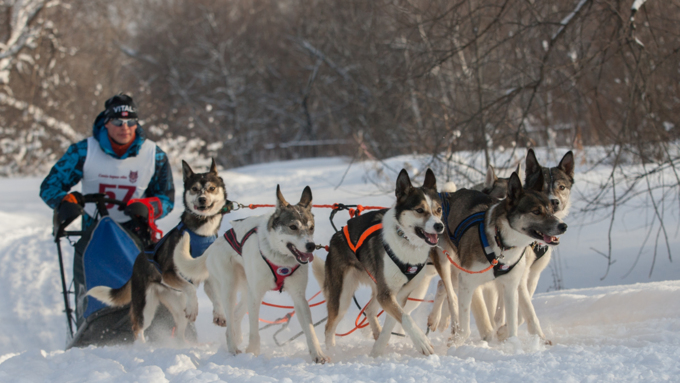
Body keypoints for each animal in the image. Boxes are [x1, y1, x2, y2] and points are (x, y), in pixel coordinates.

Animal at [86, 159, 226, 342]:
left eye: (212, 188)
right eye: (194, 189)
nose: (202, 199)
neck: (201, 233)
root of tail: (138, 260)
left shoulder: (208, 278)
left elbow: (216, 296)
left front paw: (219, 314)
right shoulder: (169, 273)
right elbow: (190, 288)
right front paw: (195, 307)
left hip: (175, 302)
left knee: (179, 329)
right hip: (146, 306)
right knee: (137, 327)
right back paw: (143, 345)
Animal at [171, 185, 328, 364]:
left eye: (311, 227)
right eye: (293, 227)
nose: (311, 246)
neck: (279, 258)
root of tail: (214, 245)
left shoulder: (299, 297)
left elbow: (309, 329)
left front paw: (318, 354)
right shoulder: (256, 295)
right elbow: (254, 329)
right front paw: (252, 352)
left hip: (246, 291)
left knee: (235, 316)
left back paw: (236, 337)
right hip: (231, 289)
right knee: (227, 313)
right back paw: (233, 347)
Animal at [314, 170, 446, 356]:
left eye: (438, 210)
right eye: (420, 210)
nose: (439, 226)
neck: (407, 242)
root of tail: (335, 238)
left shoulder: (399, 294)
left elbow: (394, 320)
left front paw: (378, 349)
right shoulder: (386, 294)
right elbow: (406, 317)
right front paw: (422, 342)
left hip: (375, 287)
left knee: (369, 310)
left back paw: (375, 334)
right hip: (343, 297)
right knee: (329, 328)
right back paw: (332, 352)